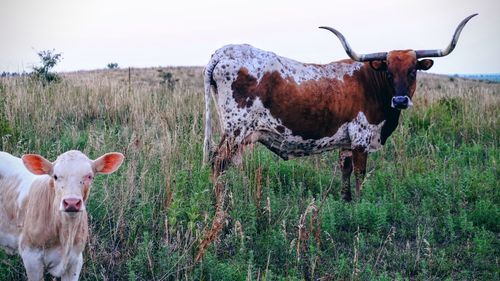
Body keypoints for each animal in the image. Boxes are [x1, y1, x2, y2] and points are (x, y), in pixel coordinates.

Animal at [203, 14, 476, 200]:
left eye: (412, 71)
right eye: (388, 72)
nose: (400, 101)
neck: (371, 83)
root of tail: (223, 51)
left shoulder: (346, 143)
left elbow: (345, 172)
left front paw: (347, 203)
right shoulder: (361, 139)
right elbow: (360, 174)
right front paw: (362, 205)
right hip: (236, 131)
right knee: (218, 162)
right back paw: (219, 205)